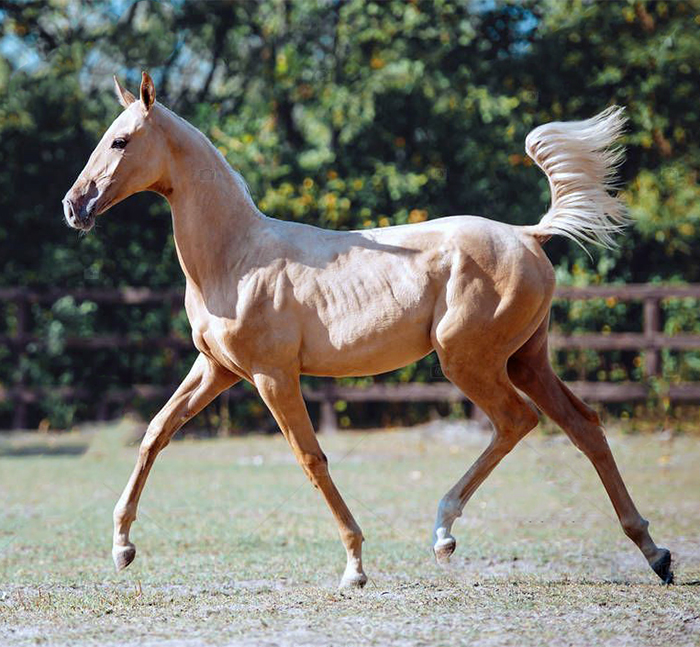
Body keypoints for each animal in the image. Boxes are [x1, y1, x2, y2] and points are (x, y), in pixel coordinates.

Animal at [61, 73, 672, 588]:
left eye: (120, 142)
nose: (74, 206)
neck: (235, 258)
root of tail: (528, 234)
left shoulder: (273, 376)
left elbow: (311, 460)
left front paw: (354, 567)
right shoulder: (216, 369)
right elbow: (155, 432)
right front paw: (122, 548)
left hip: (469, 361)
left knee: (517, 420)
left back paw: (444, 535)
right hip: (526, 359)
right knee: (583, 424)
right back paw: (655, 553)